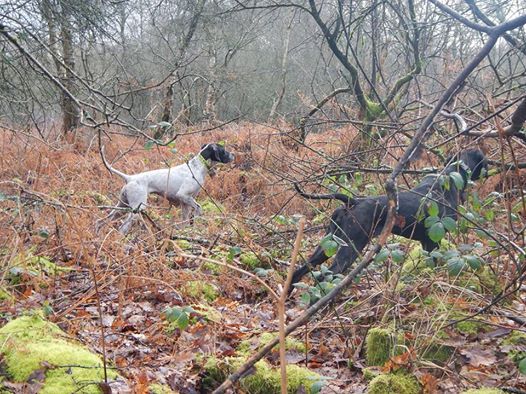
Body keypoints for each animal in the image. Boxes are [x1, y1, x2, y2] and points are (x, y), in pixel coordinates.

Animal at [290, 149, 488, 284]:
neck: (450, 177)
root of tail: (352, 201)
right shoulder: (434, 240)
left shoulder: (426, 241)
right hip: (351, 246)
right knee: (326, 276)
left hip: (328, 242)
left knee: (298, 272)